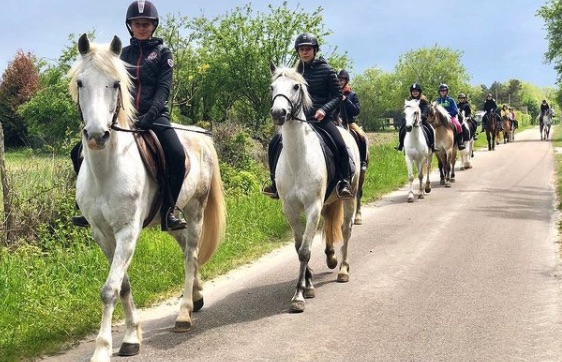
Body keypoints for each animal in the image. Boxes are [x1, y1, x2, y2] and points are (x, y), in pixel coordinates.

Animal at [65, 33, 223, 360]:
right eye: (81, 82)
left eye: (115, 83)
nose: (97, 136)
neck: (107, 169)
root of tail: (201, 135)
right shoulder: (102, 234)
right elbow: (122, 286)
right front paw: (131, 336)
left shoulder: (127, 232)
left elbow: (109, 289)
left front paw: (104, 347)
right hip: (170, 219)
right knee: (185, 246)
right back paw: (197, 298)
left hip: (196, 210)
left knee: (190, 256)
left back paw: (184, 314)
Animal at [268, 65, 358, 314]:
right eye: (272, 87)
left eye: (296, 86)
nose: (278, 113)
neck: (298, 159)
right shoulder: (290, 209)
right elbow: (299, 247)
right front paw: (307, 285)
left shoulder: (312, 207)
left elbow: (305, 250)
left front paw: (299, 295)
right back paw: (331, 259)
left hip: (350, 195)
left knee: (345, 229)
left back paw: (343, 269)